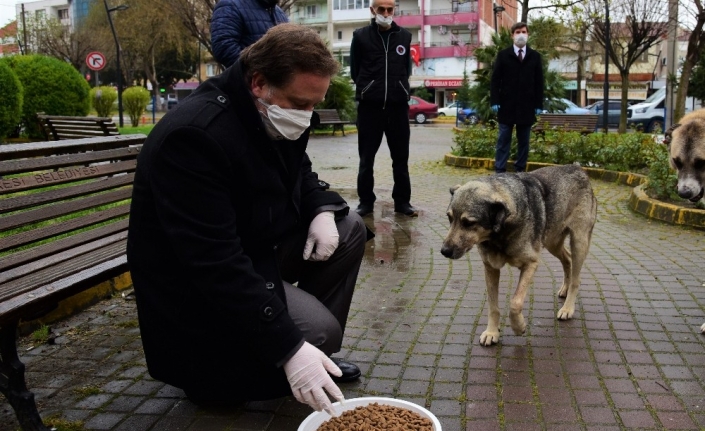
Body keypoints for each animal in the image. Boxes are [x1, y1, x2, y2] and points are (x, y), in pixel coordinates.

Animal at [442, 164, 596, 346]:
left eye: (468, 223)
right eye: (449, 218)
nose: (444, 251)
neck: (500, 232)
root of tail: (578, 168)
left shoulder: (531, 264)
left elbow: (515, 303)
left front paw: (518, 326)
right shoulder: (491, 268)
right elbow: (493, 306)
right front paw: (492, 332)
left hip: (579, 241)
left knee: (576, 278)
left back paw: (567, 308)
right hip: (552, 242)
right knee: (567, 260)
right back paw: (565, 289)